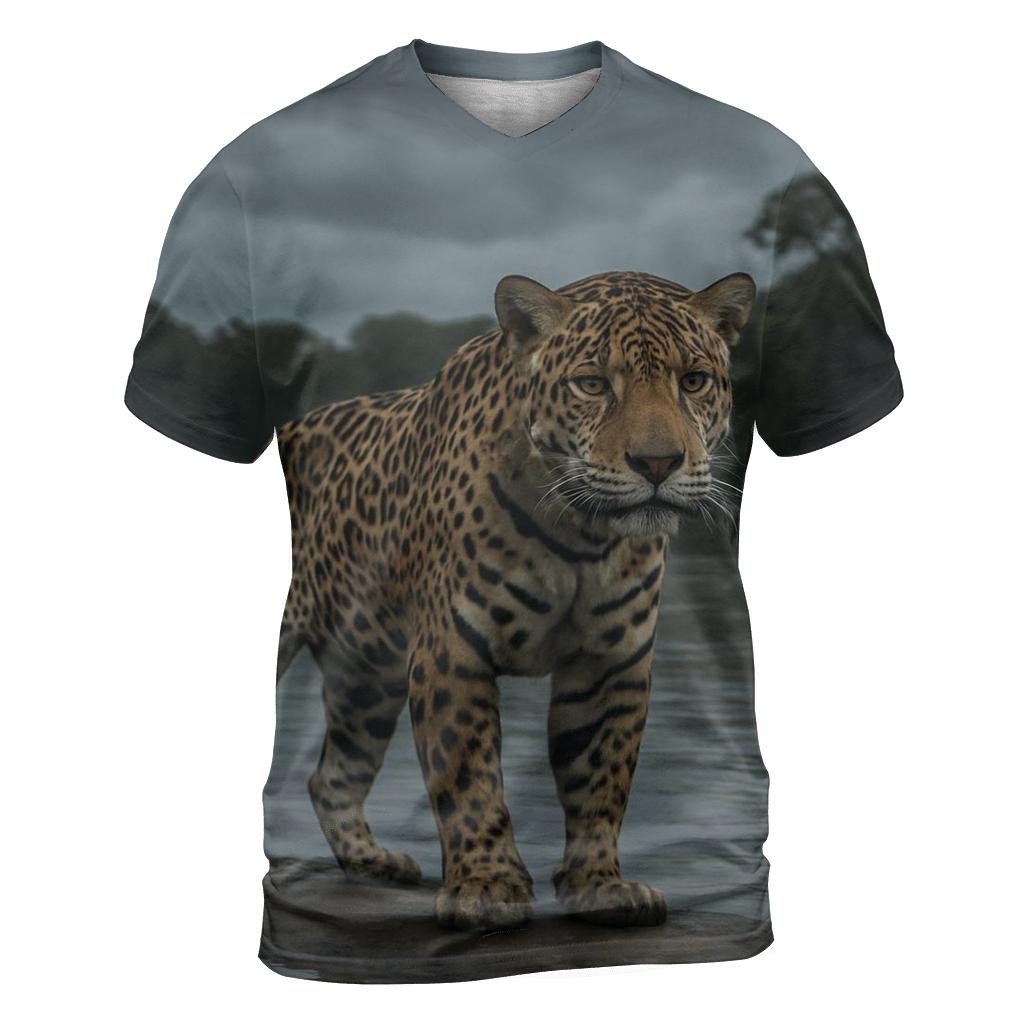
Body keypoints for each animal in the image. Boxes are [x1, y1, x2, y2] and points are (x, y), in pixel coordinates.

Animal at [276, 269, 756, 931]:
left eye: (693, 381)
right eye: (591, 384)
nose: (657, 463)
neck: (582, 534)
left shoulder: (611, 665)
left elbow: (600, 778)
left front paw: (599, 885)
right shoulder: (453, 653)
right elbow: (468, 776)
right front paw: (487, 884)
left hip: (367, 677)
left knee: (332, 776)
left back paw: (373, 861)